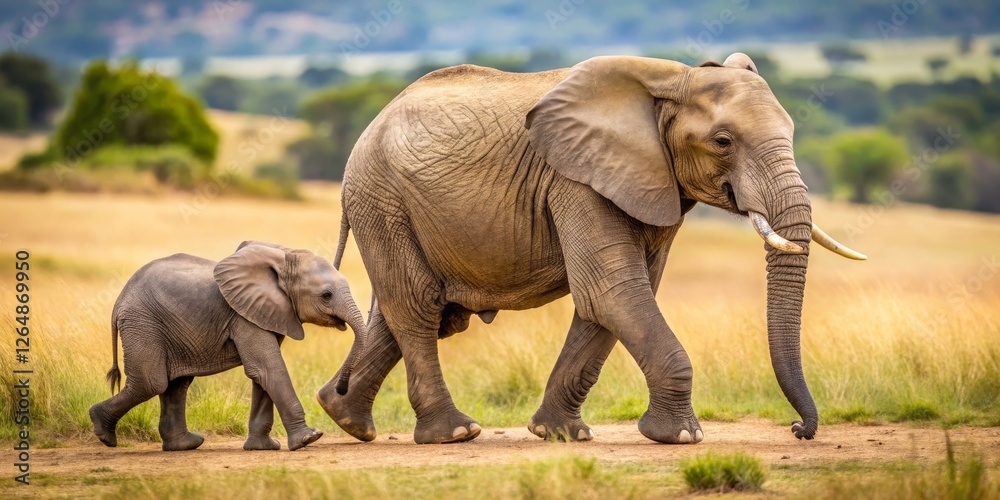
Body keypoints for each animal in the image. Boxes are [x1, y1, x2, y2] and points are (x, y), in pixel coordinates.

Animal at [89, 240, 366, 451]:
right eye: (326, 295)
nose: (342, 390)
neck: (284, 256)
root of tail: (119, 301)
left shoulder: (267, 312)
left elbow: (263, 374)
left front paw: (262, 448)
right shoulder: (243, 316)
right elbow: (268, 368)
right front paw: (308, 438)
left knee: (175, 385)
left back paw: (185, 445)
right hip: (143, 323)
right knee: (152, 383)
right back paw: (103, 433)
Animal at [317, 53, 865, 445]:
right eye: (723, 141)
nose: (798, 430)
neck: (671, 81)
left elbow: (610, 301)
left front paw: (562, 435)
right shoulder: (575, 181)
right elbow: (613, 291)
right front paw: (682, 437)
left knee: (417, 313)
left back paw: (346, 418)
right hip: (381, 200)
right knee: (417, 308)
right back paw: (454, 433)